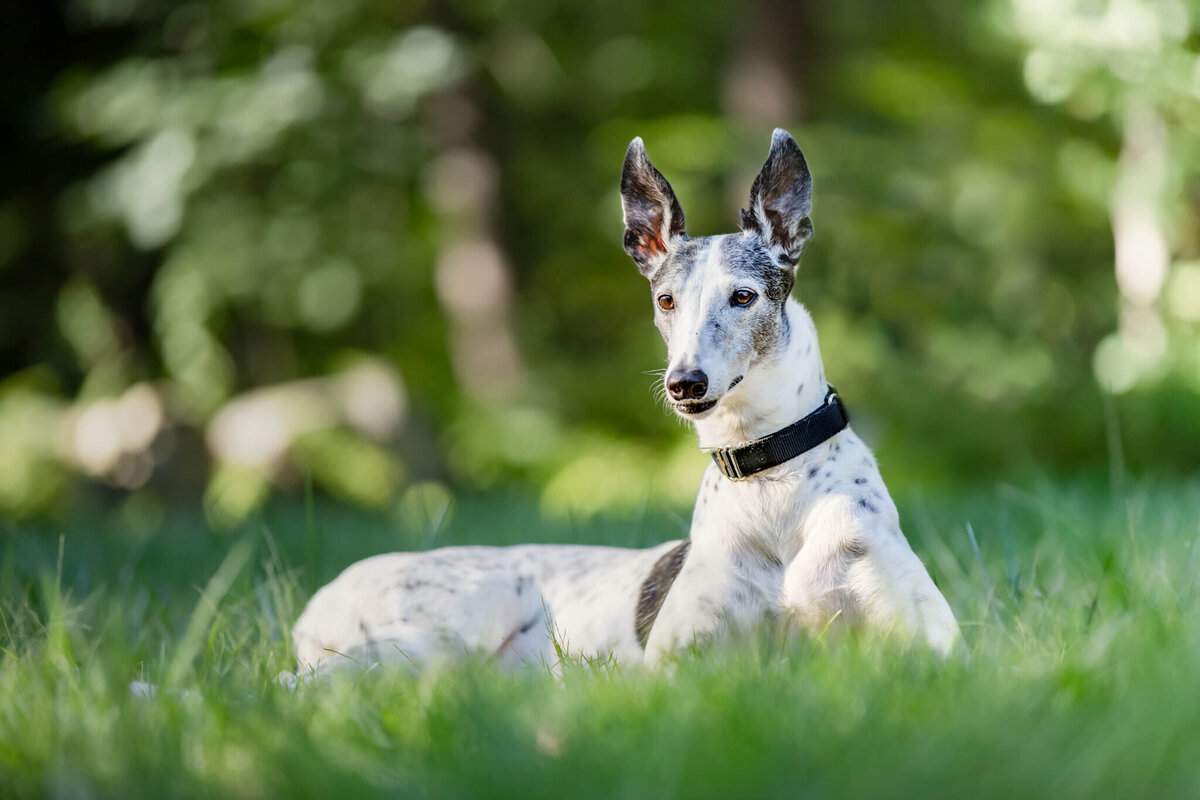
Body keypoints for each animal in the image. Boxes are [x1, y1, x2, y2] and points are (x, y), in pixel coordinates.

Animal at [295, 131, 960, 676]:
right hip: (436, 629)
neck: (769, 480)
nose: (685, 384)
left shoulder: (935, 647)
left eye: (744, 297)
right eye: (666, 301)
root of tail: (313, 606)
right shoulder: (676, 662)